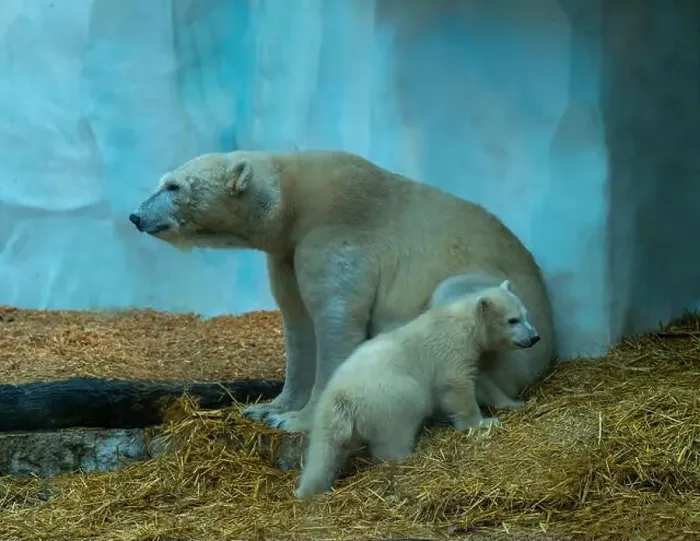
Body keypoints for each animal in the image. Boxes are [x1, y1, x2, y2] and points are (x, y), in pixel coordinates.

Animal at [128, 149, 555, 434]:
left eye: (173, 186)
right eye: (162, 182)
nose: (135, 215)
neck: (294, 202)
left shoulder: (338, 234)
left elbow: (336, 323)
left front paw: (297, 421)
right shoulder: (287, 253)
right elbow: (298, 325)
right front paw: (268, 409)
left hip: (500, 309)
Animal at [294, 279, 541, 499]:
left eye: (525, 313)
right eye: (512, 320)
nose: (535, 337)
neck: (464, 322)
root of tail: (341, 396)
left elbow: (482, 381)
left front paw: (513, 403)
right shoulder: (451, 350)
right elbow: (458, 387)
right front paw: (483, 423)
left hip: (331, 417)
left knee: (324, 451)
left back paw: (309, 487)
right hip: (391, 396)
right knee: (399, 424)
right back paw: (406, 455)